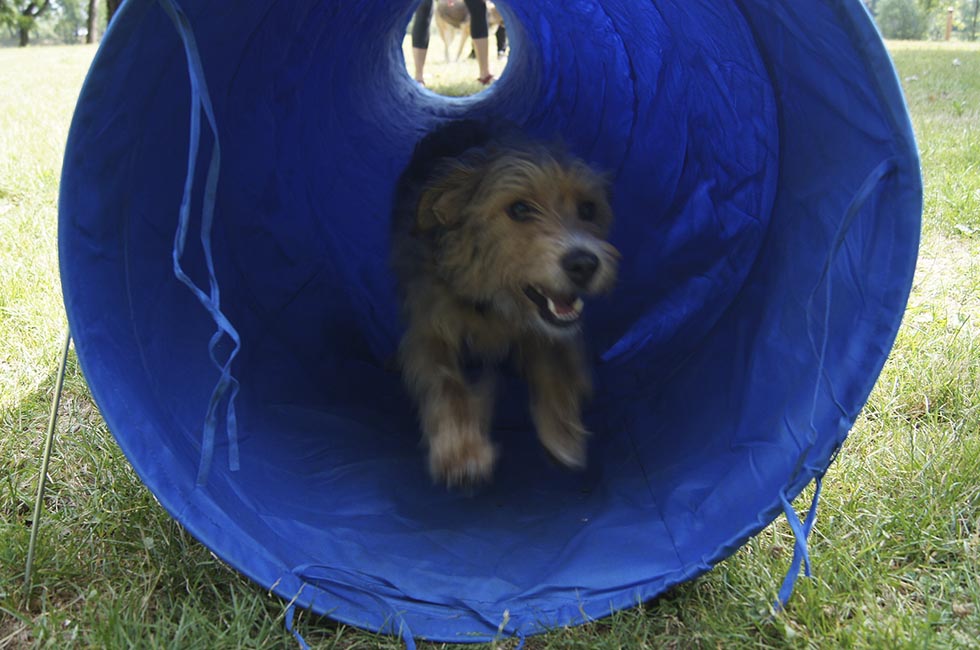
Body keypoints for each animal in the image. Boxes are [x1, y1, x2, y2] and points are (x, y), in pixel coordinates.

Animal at [392, 120, 616, 486]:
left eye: (588, 208)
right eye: (519, 209)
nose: (584, 264)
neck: (493, 302)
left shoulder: (546, 332)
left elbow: (553, 365)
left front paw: (563, 432)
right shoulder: (427, 329)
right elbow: (446, 381)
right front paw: (463, 450)